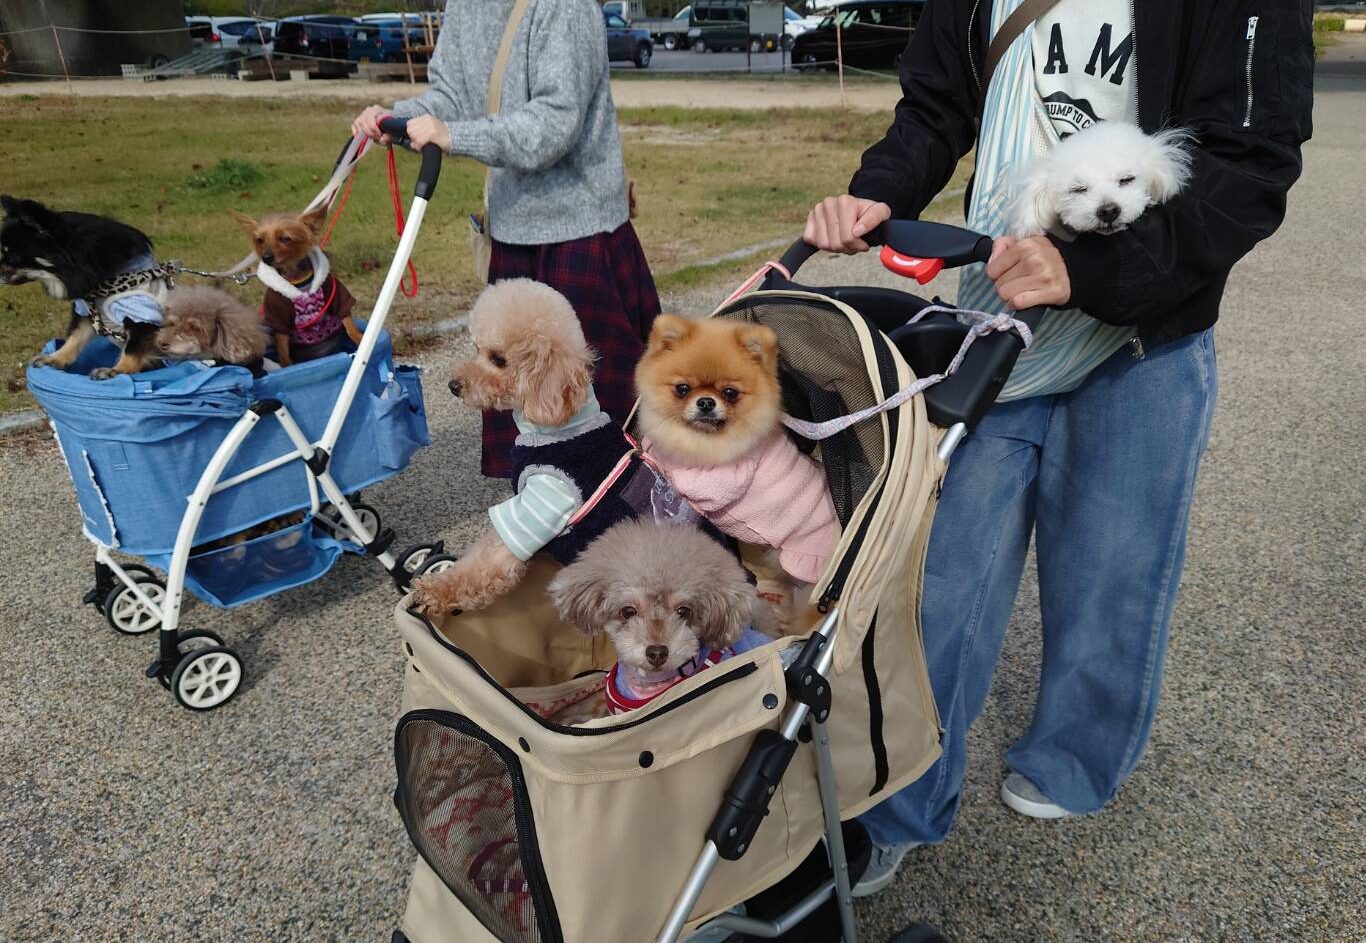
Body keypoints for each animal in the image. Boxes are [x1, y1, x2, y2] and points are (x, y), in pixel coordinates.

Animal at [1, 196, 167, 379]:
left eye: (13, 258)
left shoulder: (141, 316)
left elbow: (132, 350)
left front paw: (117, 370)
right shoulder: (87, 313)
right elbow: (75, 337)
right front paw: (55, 358)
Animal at [229, 205, 362, 367]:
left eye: (285, 238)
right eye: (260, 240)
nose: (266, 257)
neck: (297, 279)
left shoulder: (335, 294)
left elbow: (349, 324)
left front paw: (361, 338)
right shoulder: (277, 318)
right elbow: (283, 351)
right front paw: (286, 366)